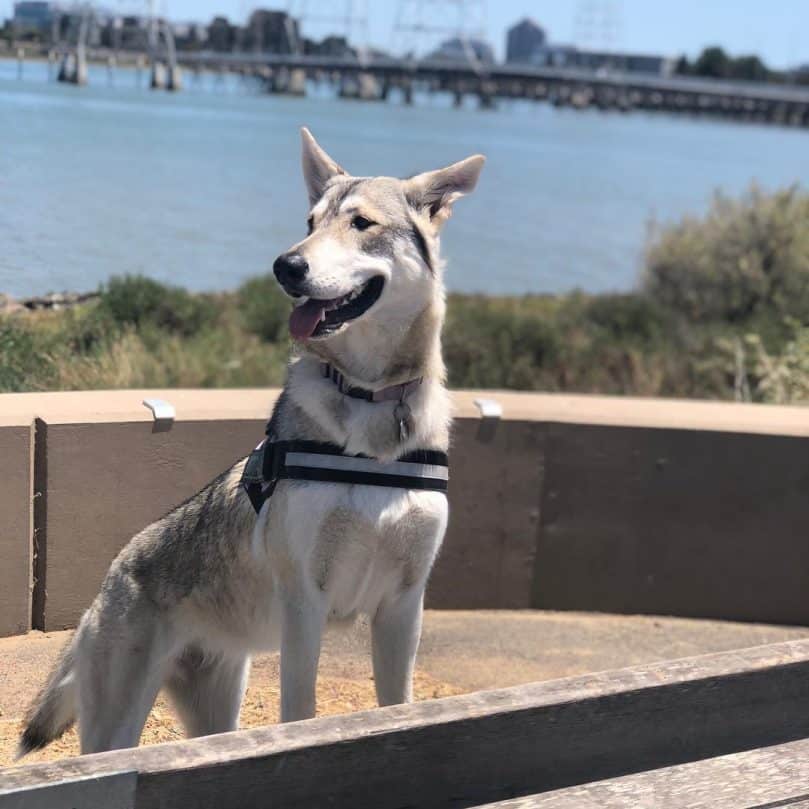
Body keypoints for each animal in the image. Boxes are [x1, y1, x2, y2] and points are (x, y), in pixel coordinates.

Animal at [19, 128, 482, 756]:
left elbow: (398, 706)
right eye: (310, 221)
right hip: (116, 727)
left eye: (361, 223)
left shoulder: (403, 605)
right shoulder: (305, 604)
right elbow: (300, 712)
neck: (370, 400)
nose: (286, 265)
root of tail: (105, 585)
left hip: (217, 713)